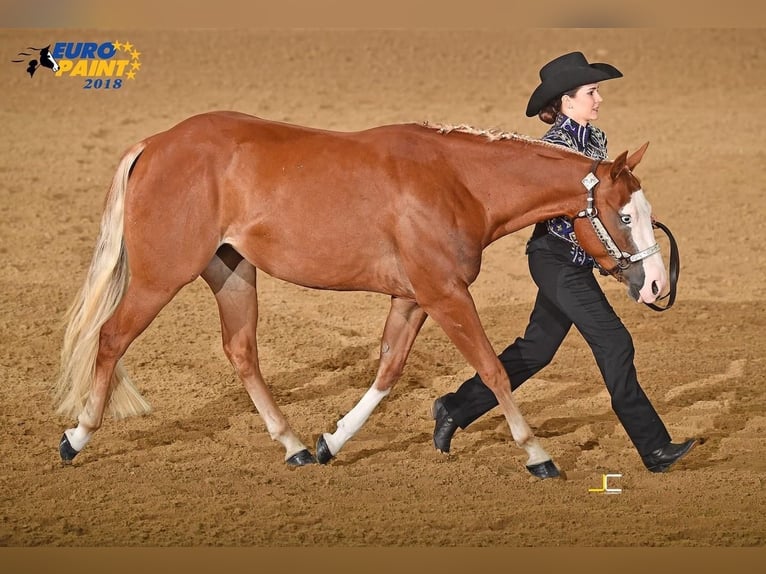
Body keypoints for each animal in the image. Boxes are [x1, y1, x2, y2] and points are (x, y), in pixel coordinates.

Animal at [54, 111, 666, 479]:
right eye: (624, 215)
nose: (659, 286)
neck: (458, 181)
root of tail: (155, 143)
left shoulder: (415, 298)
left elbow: (389, 369)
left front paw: (332, 441)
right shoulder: (446, 295)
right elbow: (493, 370)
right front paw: (538, 454)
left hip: (231, 272)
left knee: (242, 352)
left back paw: (295, 446)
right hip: (161, 277)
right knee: (110, 338)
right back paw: (76, 438)